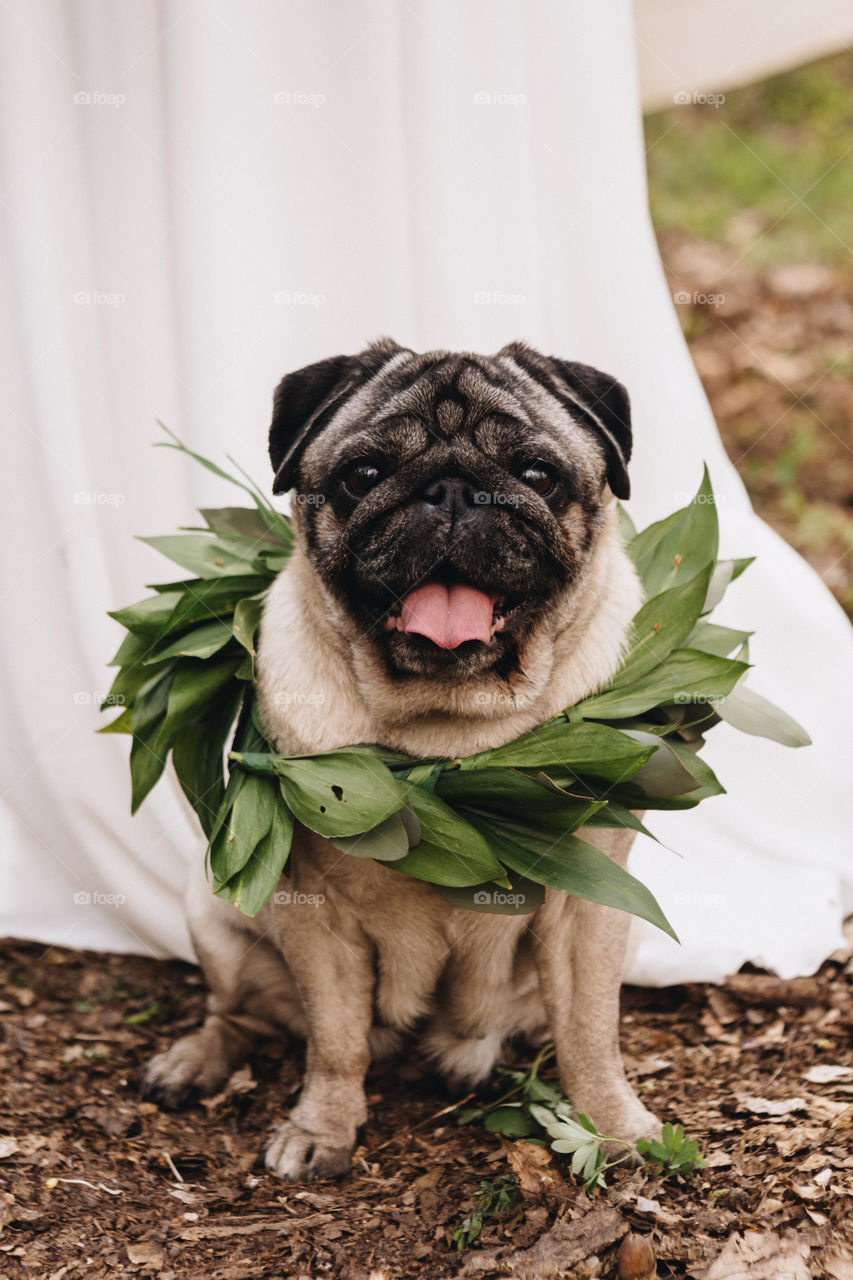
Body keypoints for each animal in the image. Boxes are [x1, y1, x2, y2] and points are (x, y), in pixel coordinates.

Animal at [144, 337, 655, 1177]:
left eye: (536, 474)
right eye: (363, 475)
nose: (449, 491)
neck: (447, 735)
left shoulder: (588, 910)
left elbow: (587, 1028)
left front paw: (613, 1125)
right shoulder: (314, 915)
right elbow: (335, 1039)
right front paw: (321, 1129)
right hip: (212, 911)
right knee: (240, 1012)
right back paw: (194, 1061)